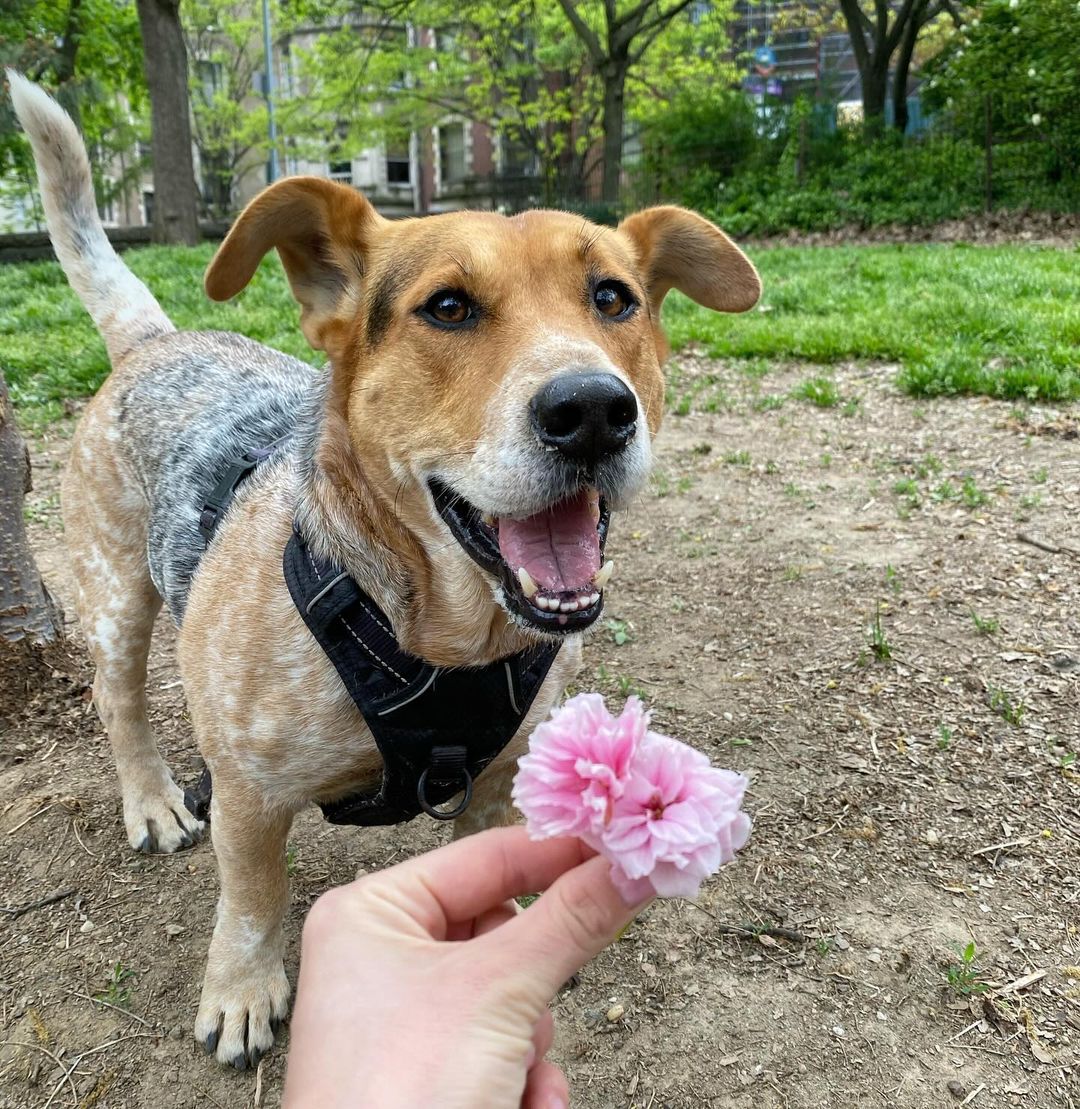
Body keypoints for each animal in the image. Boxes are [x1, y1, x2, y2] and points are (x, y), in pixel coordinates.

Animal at [12, 67, 767, 1064]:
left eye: (613, 299)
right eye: (447, 307)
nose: (595, 410)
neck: (441, 637)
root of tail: (154, 338)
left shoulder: (497, 780)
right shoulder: (250, 794)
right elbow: (253, 895)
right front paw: (242, 988)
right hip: (115, 598)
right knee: (120, 700)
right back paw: (152, 801)